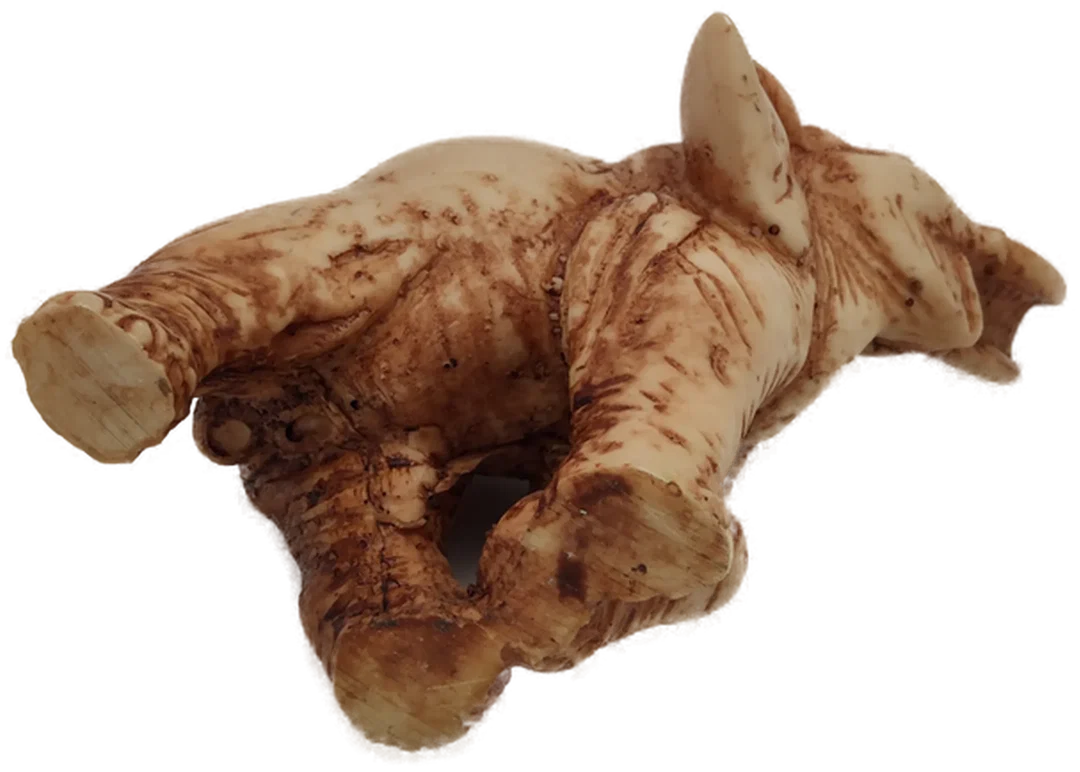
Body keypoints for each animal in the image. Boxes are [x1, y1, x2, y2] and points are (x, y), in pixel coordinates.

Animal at [6, 8, 1069, 764]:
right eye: (925, 199)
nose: (1029, 291)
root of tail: (262, 423)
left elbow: (716, 558)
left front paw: (564, 598)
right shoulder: (675, 246)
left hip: (331, 460)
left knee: (364, 549)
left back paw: (433, 662)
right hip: (371, 232)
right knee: (278, 256)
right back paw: (92, 356)